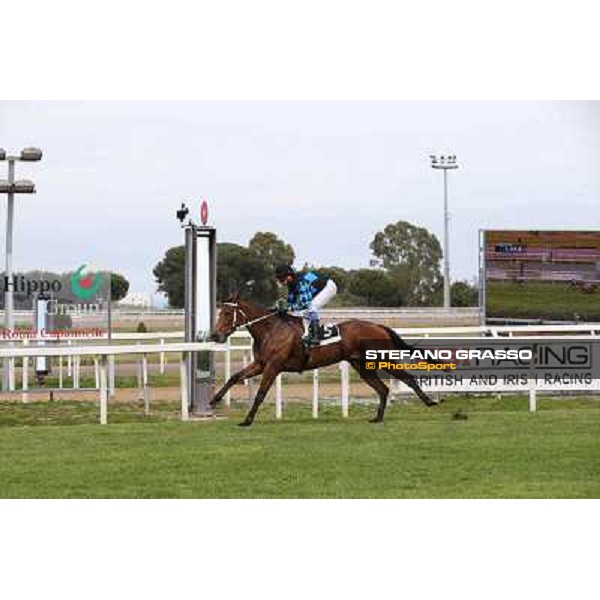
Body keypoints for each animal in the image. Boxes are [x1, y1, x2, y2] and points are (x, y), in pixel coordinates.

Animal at [210, 296, 440, 426]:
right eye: (219, 312)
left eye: (228, 313)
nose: (215, 335)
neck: (270, 330)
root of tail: (378, 326)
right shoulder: (260, 364)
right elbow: (234, 377)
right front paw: (214, 399)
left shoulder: (273, 366)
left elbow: (260, 393)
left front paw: (247, 420)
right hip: (362, 366)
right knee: (383, 389)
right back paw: (378, 418)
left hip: (382, 359)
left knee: (407, 378)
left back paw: (430, 401)